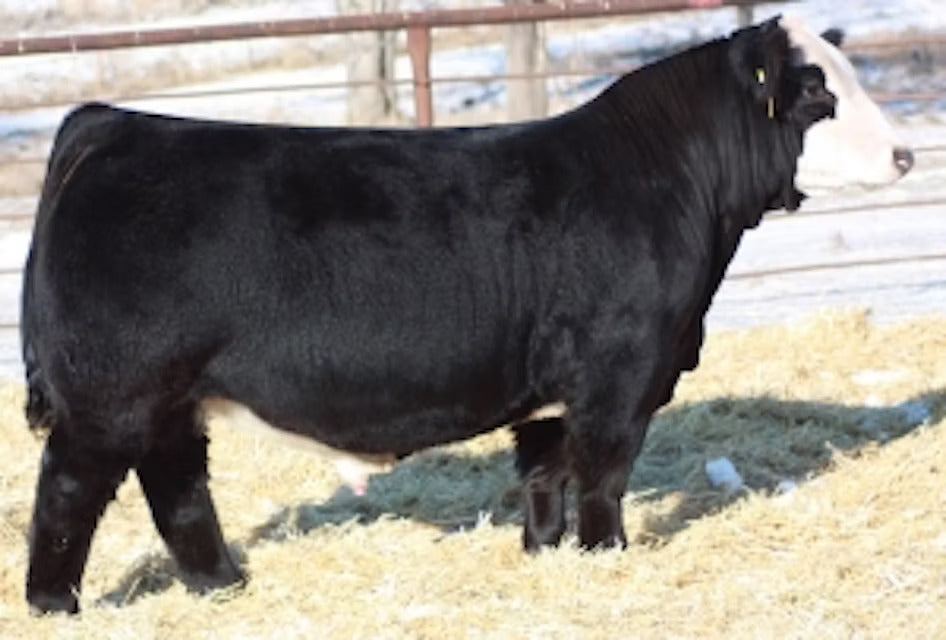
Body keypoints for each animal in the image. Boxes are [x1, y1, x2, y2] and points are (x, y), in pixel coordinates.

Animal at [20, 16, 912, 614]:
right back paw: (54, 603)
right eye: (816, 92)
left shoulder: (552, 385)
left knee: (177, 489)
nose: (906, 152)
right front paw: (605, 557)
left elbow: (546, 470)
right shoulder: (620, 371)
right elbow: (603, 473)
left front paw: (544, 553)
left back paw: (223, 585)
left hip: (168, 399)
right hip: (111, 395)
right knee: (69, 490)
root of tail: (112, 123)